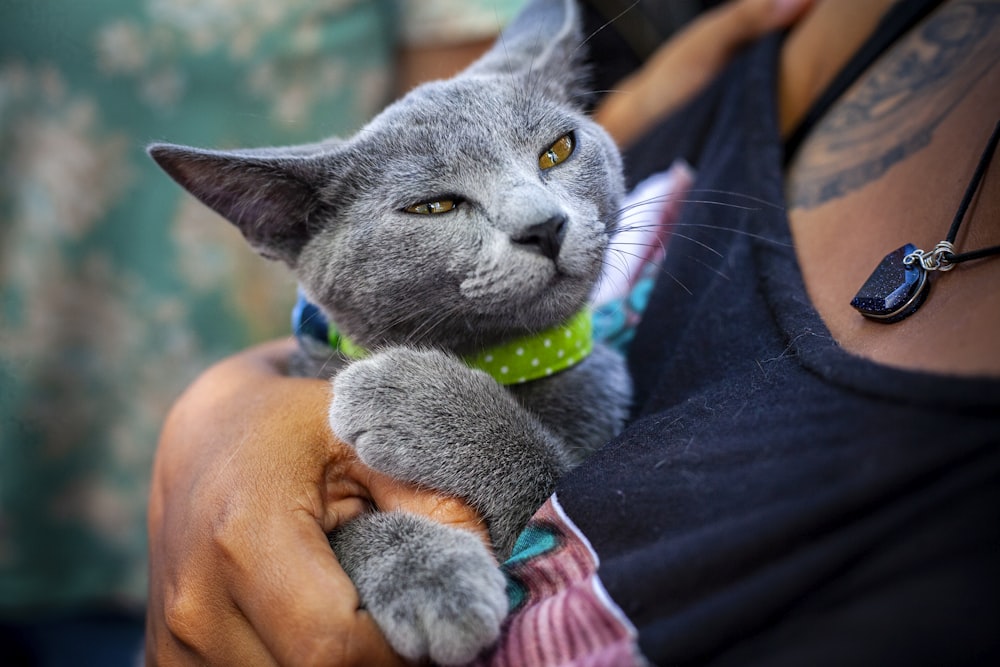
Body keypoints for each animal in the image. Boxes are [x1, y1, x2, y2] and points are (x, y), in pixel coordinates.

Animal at [148, 0, 628, 664]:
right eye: (434, 207)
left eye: (557, 151)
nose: (545, 225)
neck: (498, 361)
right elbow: (345, 536)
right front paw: (429, 577)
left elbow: (550, 495)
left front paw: (419, 401)